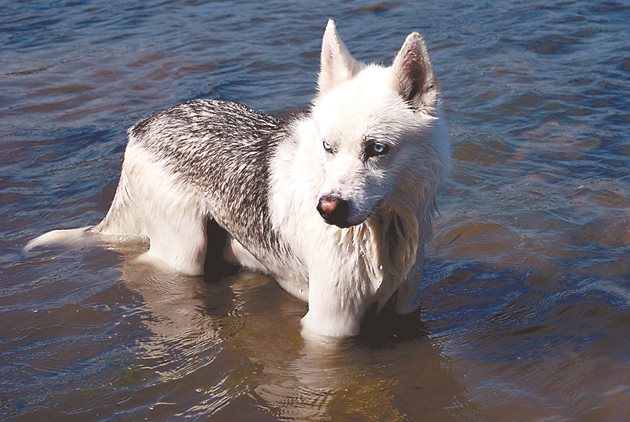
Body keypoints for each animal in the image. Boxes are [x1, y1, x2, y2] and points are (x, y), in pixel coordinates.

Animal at [25, 19, 450, 338]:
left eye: (377, 149)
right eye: (328, 147)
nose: (327, 209)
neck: (382, 233)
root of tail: (143, 125)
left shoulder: (406, 307)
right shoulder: (329, 326)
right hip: (184, 252)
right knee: (145, 262)